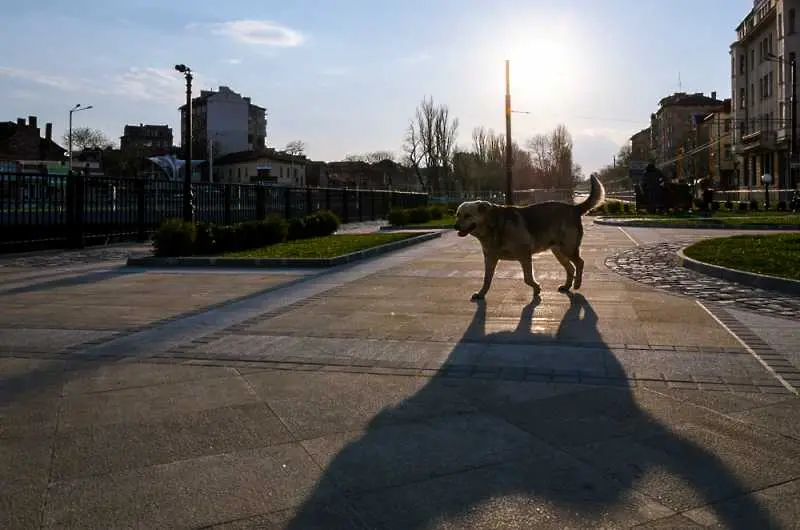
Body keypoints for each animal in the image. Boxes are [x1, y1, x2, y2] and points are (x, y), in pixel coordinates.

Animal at [454, 175, 604, 300]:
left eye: (467, 215)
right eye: (457, 214)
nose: (455, 226)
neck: (495, 224)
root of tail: (574, 208)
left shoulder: (524, 255)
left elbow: (527, 278)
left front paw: (537, 288)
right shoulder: (490, 259)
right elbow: (486, 280)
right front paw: (481, 293)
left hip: (568, 249)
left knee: (580, 263)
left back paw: (577, 284)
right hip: (559, 252)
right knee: (570, 268)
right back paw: (567, 286)